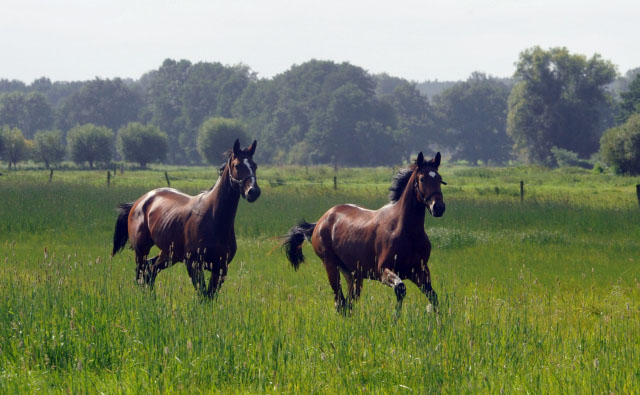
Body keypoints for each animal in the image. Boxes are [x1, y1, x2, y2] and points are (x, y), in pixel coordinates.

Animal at [112, 139, 260, 296]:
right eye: (237, 165)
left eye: (255, 165)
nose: (253, 191)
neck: (214, 219)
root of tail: (138, 202)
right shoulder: (193, 265)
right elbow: (203, 295)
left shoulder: (220, 268)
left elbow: (209, 296)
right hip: (141, 250)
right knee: (141, 272)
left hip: (169, 254)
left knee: (150, 270)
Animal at [284, 153, 444, 314]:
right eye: (422, 179)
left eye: (439, 178)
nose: (438, 207)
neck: (406, 232)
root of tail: (320, 222)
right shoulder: (383, 270)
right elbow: (400, 288)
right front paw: (395, 318)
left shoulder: (420, 271)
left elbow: (434, 297)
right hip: (331, 266)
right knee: (339, 301)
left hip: (353, 275)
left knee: (348, 303)